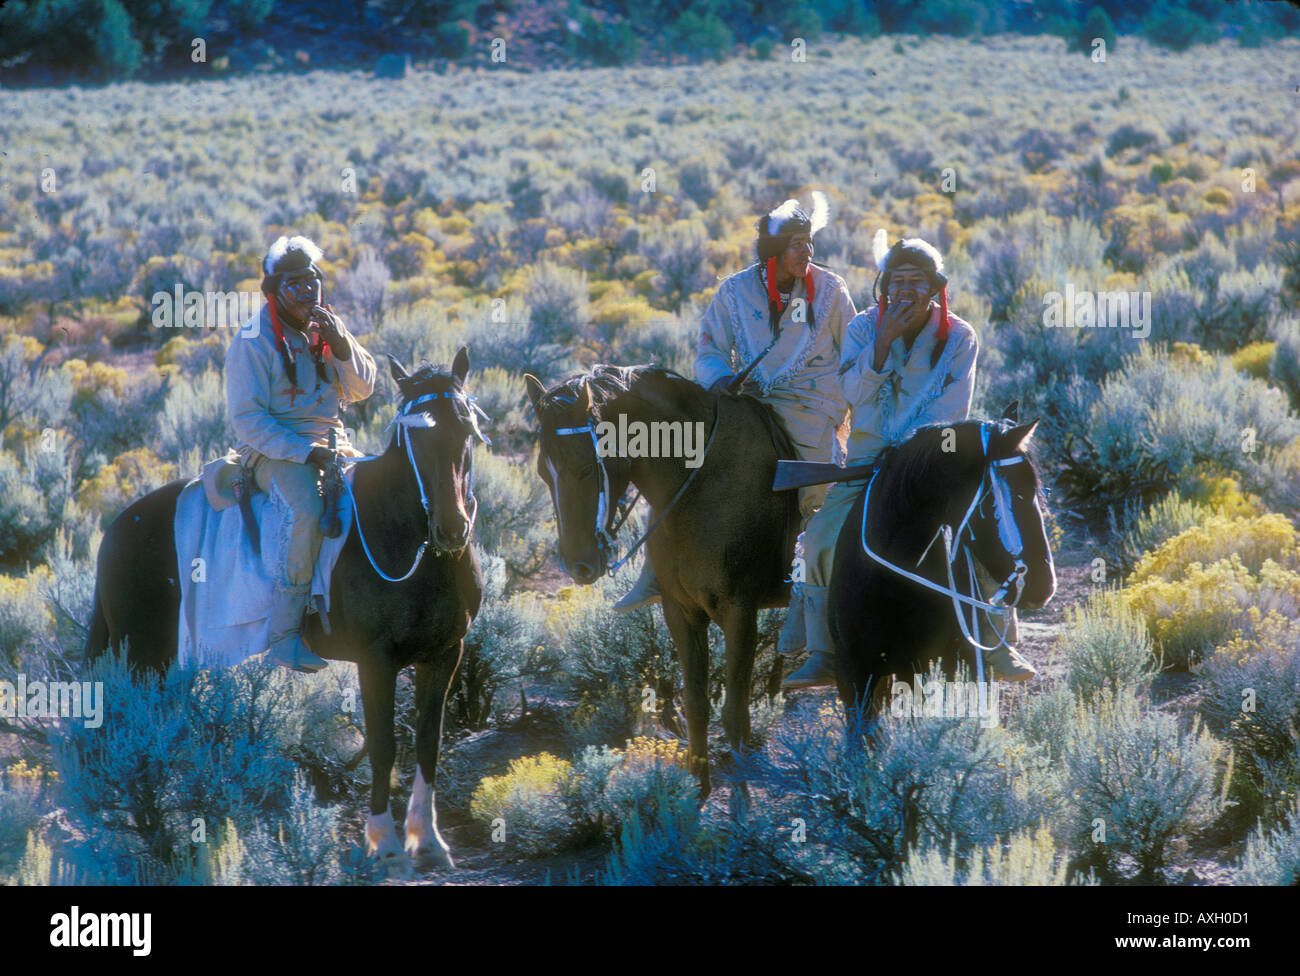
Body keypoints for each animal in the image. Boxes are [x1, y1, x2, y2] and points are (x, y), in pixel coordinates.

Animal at [85, 348, 488, 873]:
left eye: (465, 428)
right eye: (415, 436)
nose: (451, 528)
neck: (403, 538)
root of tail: (115, 528)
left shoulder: (443, 655)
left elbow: (428, 744)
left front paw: (429, 841)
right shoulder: (376, 661)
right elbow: (383, 746)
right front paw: (385, 844)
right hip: (142, 660)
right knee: (131, 734)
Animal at [522, 363, 795, 795]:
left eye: (585, 467)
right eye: (542, 474)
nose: (578, 565)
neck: (701, 481)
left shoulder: (741, 612)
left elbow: (735, 716)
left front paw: (741, 798)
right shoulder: (679, 611)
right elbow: (696, 704)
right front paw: (696, 786)